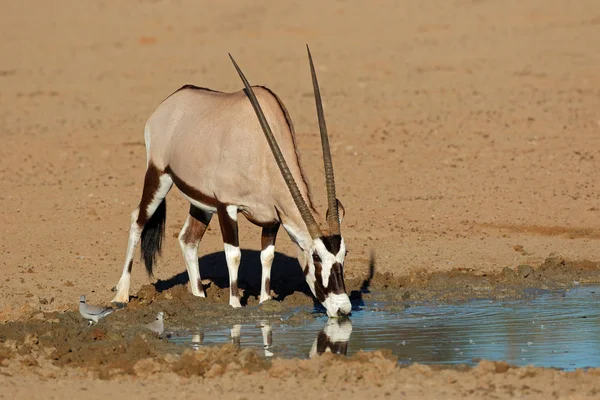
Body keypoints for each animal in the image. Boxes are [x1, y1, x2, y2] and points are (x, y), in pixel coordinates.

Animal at [111, 45, 352, 318]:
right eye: (316, 257)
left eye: (344, 254)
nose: (343, 308)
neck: (261, 148)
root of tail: (171, 101)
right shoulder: (227, 206)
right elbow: (234, 255)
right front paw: (235, 304)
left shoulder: (272, 217)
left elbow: (267, 256)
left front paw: (264, 301)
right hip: (158, 175)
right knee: (138, 221)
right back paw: (121, 295)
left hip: (201, 203)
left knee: (188, 239)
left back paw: (198, 297)